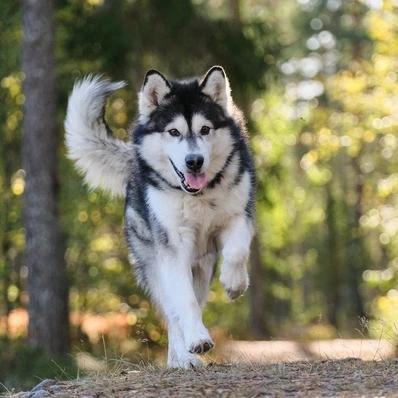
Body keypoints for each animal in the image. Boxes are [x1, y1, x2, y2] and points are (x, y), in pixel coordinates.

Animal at [65, 67, 255, 368]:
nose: (194, 161)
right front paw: (196, 341)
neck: (198, 196)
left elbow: (236, 252)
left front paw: (234, 284)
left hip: (201, 268)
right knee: (174, 312)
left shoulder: (239, 215)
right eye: (173, 132)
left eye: (205, 129)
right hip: (156, 265)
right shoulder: (173, 247)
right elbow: (184, 302)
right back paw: (183, 358)